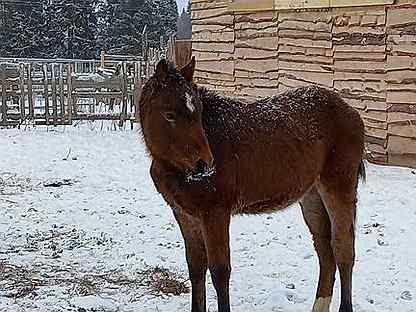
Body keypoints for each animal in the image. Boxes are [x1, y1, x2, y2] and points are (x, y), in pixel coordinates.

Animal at [139, 58, 364, 312]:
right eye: (169, 114)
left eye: (198, 111)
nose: (204, 164)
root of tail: (351, 112)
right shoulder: (185, 215)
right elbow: (196, 268)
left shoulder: (215, 213)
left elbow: (220, 272)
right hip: (311, 195)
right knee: (325, 252)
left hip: (338, 186)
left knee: (343, 249)